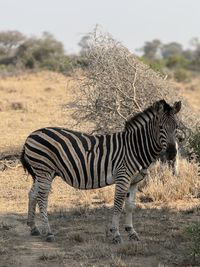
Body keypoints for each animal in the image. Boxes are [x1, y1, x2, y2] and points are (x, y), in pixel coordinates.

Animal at [20, 99, 181, 244]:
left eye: (176, 127)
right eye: (160, 127)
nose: (172, 153)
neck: (135, 148)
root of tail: (31, 135)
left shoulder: (135, 181)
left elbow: (130, 206)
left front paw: (132, 232)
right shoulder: (123, 177)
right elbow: (118, 204)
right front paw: (116, 234)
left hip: (44, 173)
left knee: (32, 193)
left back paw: (33, 227)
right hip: (44, 170)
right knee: (42, 198)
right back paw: (48, 233)